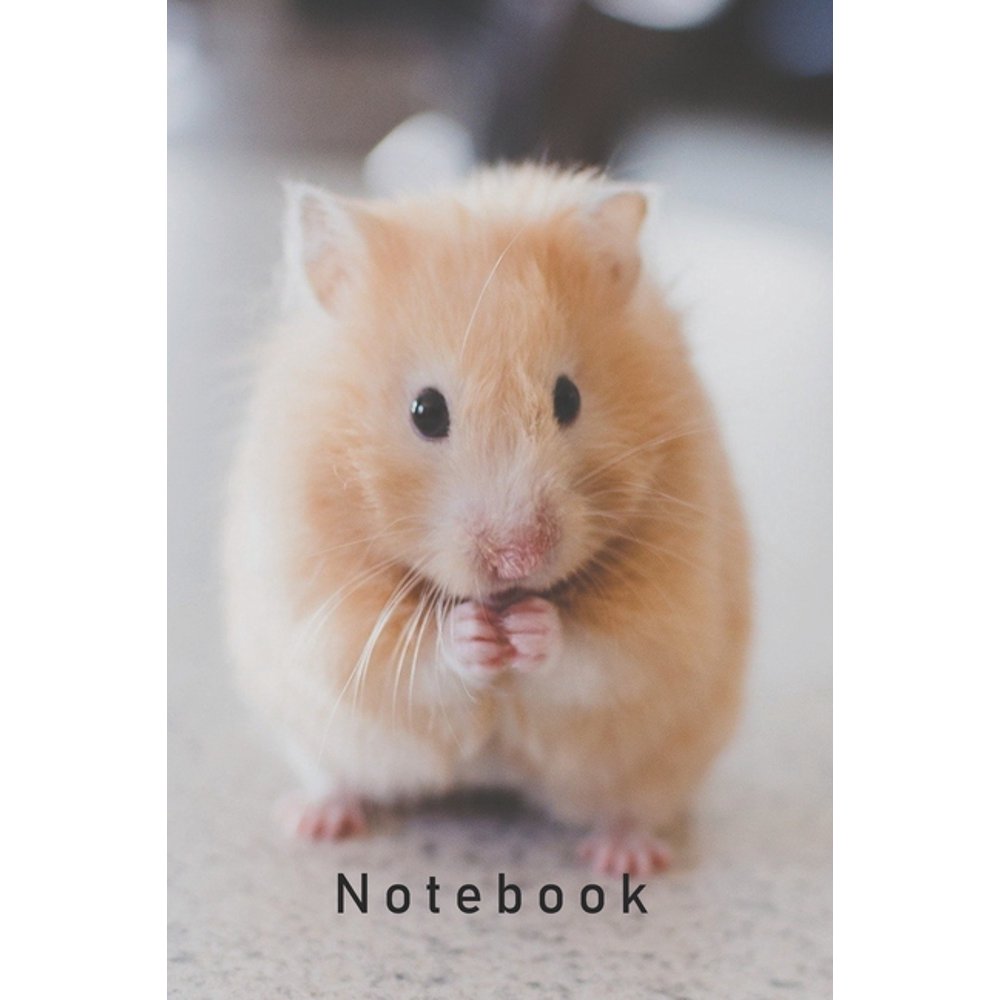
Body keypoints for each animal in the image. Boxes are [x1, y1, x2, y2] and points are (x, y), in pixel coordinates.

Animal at [224, 164, 751, 876]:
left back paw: (626, 856)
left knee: (633, 805)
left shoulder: (668, 614)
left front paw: (530, 629)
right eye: (426, 411)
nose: (518, 559)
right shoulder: (321, 608)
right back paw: (314, 820)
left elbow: (597, 654)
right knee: (336, 777)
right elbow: (409, 658)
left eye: (568, 398)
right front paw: (474, 634)